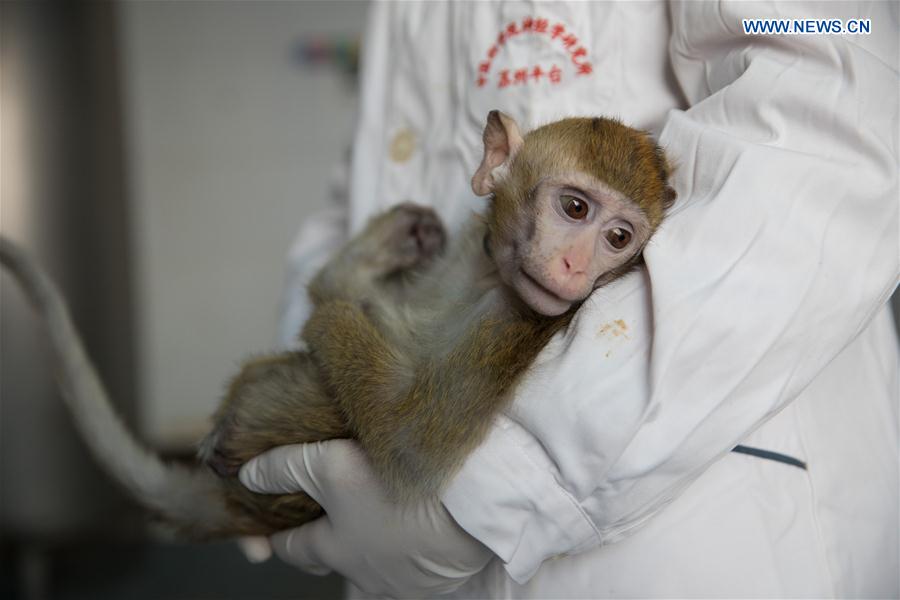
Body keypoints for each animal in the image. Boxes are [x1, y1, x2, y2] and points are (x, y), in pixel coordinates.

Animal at [0, 110, 675, 539]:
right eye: (575, 208)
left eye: (619, 238)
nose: (575, 266)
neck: (489, 279)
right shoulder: (470, 252)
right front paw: (392, 244)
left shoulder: (512, 326)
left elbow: (408, 444)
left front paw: (330, 315)